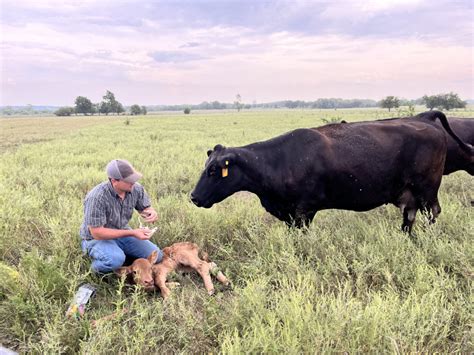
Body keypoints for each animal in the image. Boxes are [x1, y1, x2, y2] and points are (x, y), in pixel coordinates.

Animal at [191, 112, 472, 234]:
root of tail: (426, 121)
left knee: (432, 213)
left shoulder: (304, 211)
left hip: (427, 190)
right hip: (411, 195)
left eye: (214, 170)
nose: (193, 197)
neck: (279, 160)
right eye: (206, 166)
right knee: (409, 216)